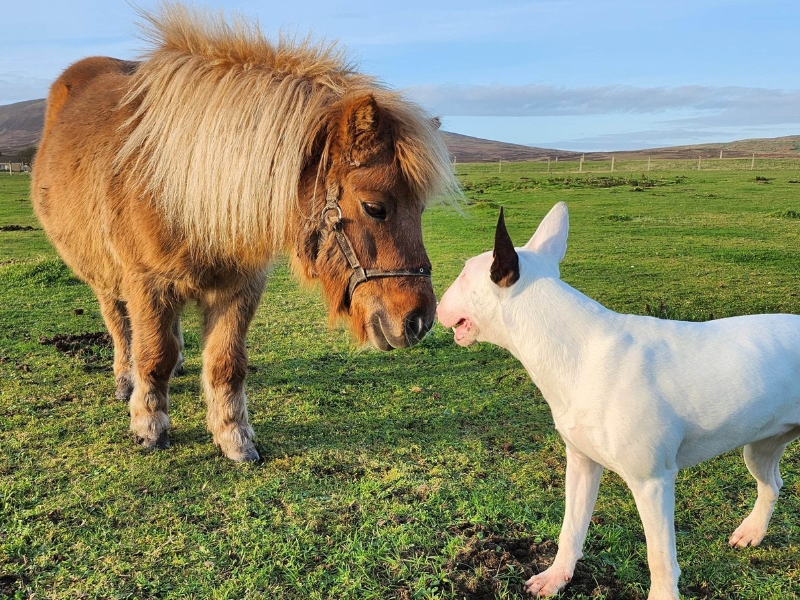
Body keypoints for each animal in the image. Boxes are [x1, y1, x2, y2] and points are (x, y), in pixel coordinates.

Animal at [32, 4, 456, 462]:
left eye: (420, 208)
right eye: (374, 207)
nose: (419, 321)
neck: (183, 188)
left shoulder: (239, 287)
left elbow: (226, 363)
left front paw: (234, 436)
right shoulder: (147, 284)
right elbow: (153, 356)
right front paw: (149, 426)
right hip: (105, 276)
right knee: (121, 327)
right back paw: (126, 380)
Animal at [438, 204, 800, 596]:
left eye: (462, 274)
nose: (436, 304)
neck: (577, 350)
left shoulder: (652, 482)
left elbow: (660, 556)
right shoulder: (581, 464)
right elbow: (571, 528)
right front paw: (556, 577)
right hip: (760, 446)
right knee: (772, 484)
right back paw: (752, 532)